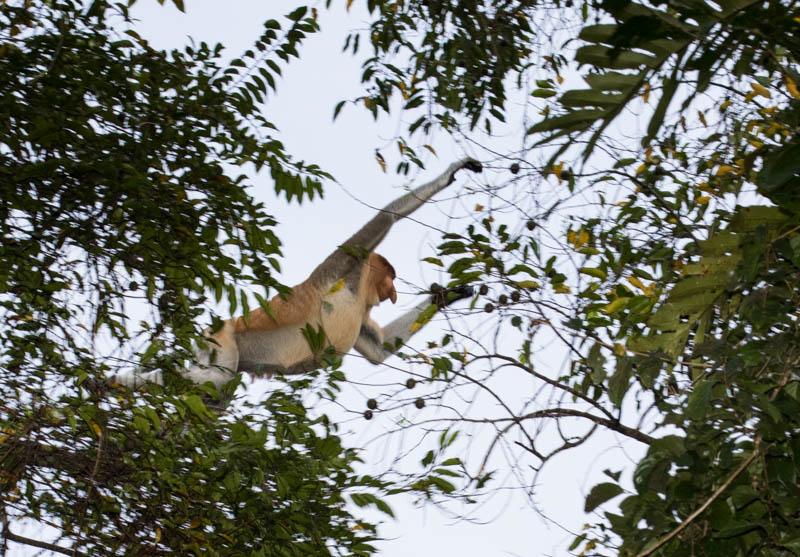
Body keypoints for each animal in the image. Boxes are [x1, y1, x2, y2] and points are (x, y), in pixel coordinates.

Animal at [112, 159, 482, 388]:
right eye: (389, 277)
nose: (391, 292)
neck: (357, 288)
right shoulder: (343, 265)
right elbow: (386, 217)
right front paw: (452, 172)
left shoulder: (360, 314)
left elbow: (379, 350)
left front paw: (450, 294)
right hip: (220, 338)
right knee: (216, 378)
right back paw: (111, 381)